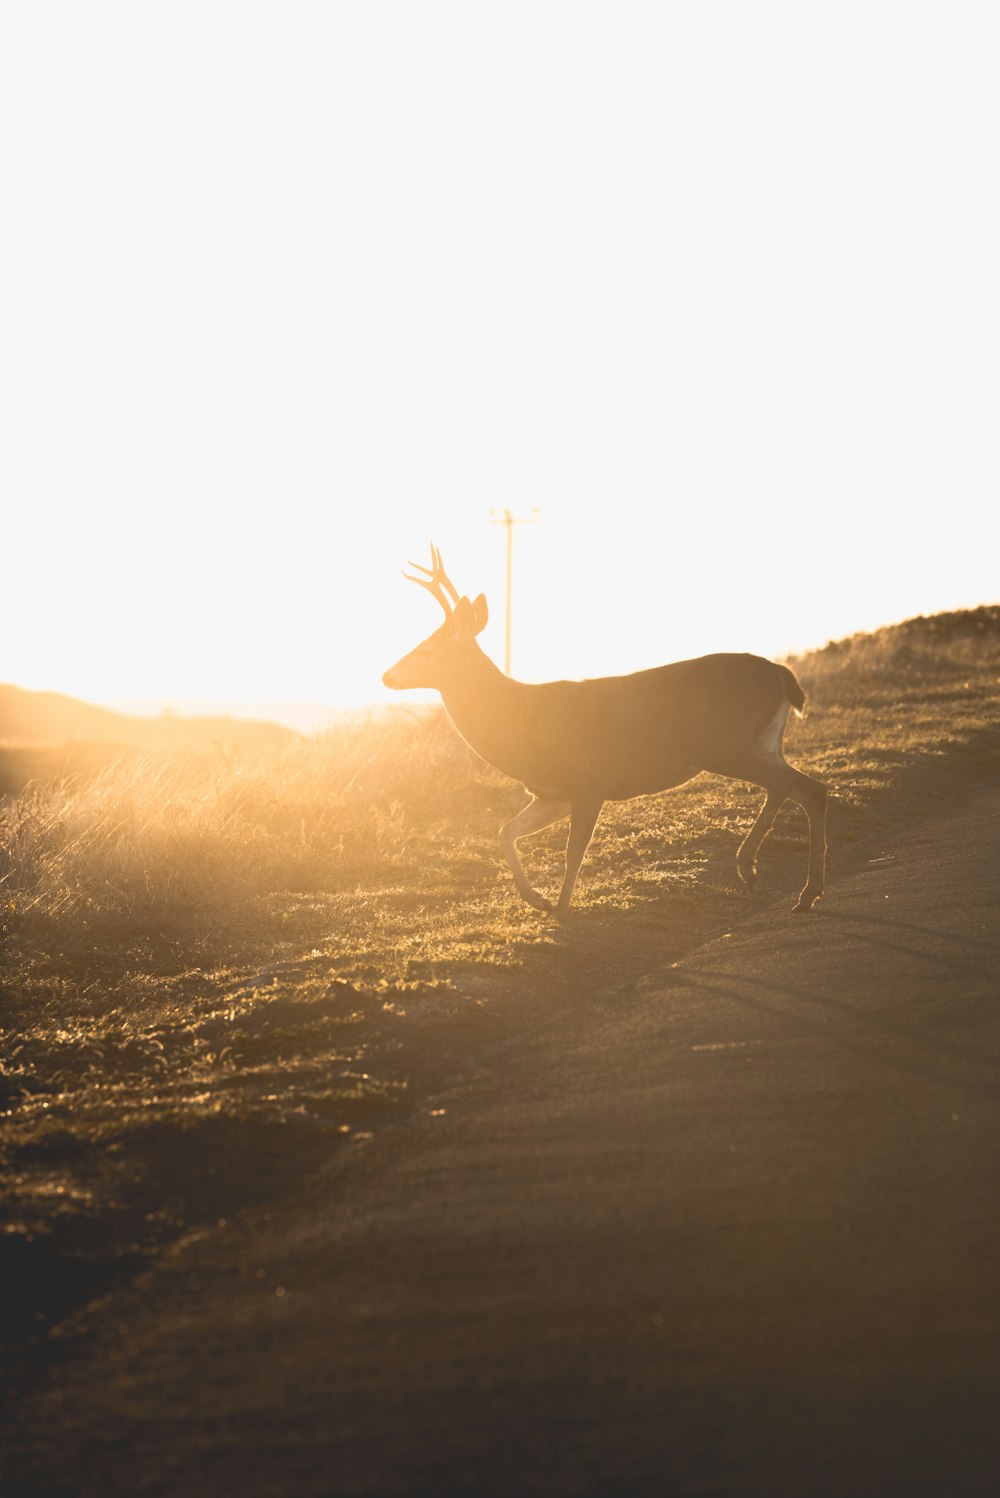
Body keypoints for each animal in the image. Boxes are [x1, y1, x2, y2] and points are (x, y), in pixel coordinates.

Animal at [383, 545, 826, 916]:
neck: (521, 722)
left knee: (798, 786)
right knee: (805, 787)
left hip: (727, 745)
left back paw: (766, 875)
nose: (387, 675)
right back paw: (791, 887)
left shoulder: (588, 783)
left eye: (428, 650)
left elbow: (573, 851)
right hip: (759, 743)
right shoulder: (552, 794)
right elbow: (504, 833)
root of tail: (781, 673)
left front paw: (560, 910)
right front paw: (538, 899)